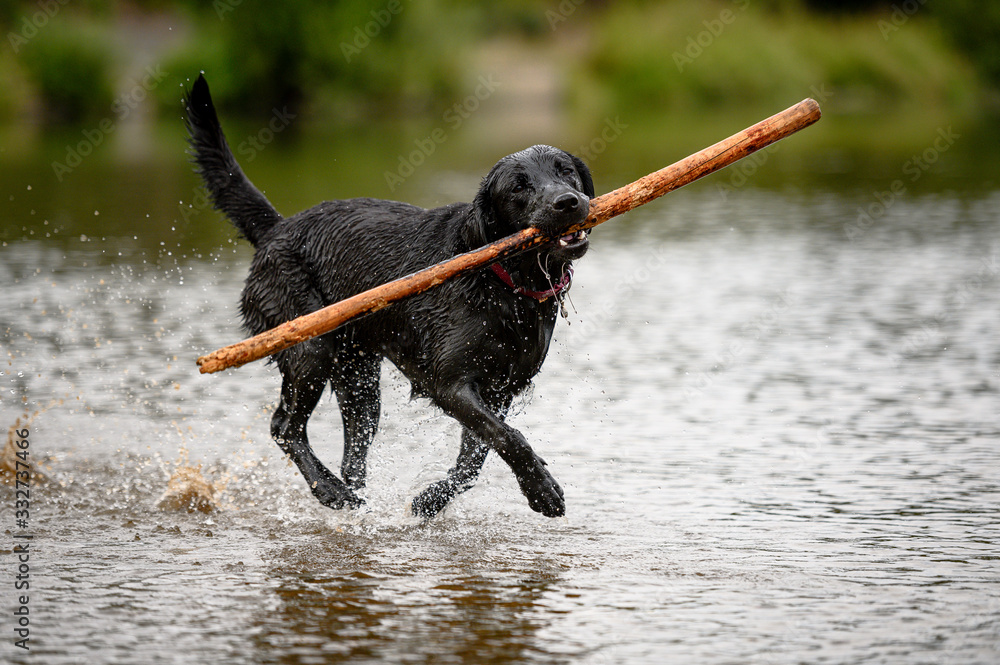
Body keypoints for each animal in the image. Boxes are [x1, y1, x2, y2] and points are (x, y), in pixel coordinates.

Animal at [187, 75, 588, 516]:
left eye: (566, 171)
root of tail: (276, 229)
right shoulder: (451, 383)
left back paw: (353, 496)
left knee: (351, 454)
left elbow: (475, 459)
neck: (503, 282)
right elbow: (507, 437)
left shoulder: (501, 389)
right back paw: (331, 492)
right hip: (310, 348)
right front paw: (543, 491)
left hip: (359, 378)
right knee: (284, 427)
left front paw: (429, 501)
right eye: (519, 186)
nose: (568, 202)